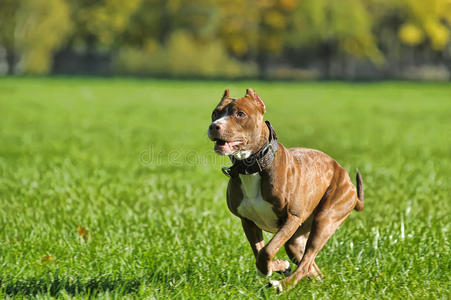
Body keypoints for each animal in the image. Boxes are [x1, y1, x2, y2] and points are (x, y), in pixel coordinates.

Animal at [207, 88, 364, 290]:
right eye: (215, 113)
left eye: (240, 114)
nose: (214, 126)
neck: (253, 166)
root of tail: (345, 175)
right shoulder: (247, 221)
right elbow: (259, 253)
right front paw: (279, 266)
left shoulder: (292, 218)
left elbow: (267, 250)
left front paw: (276, 267)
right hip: (296, 239)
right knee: (310, 266)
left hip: (325, 219)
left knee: (306, 263)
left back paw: (283, 285)